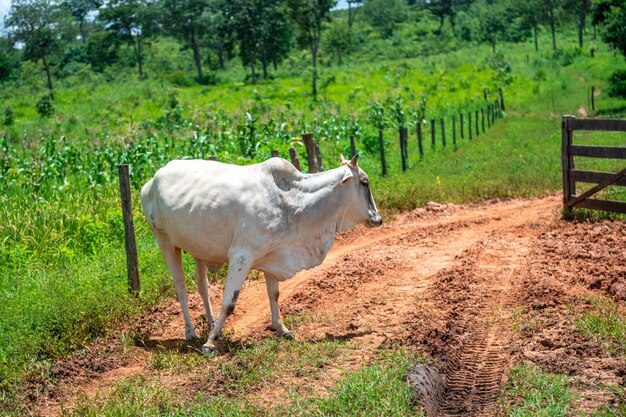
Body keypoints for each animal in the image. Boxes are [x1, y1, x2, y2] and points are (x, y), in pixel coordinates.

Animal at [140, 154, 380, 352]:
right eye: (365, 182)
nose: (377, 219)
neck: (292, 202)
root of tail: (151, 180)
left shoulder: (273, 256)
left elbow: (274, 294)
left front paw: (281, 329)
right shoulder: (241, 256)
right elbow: (229, 303)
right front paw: (210, 343)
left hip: (198, 247)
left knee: (202, 287)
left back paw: (211, 325)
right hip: (164, 241)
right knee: (180, 287)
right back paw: (191, 334)